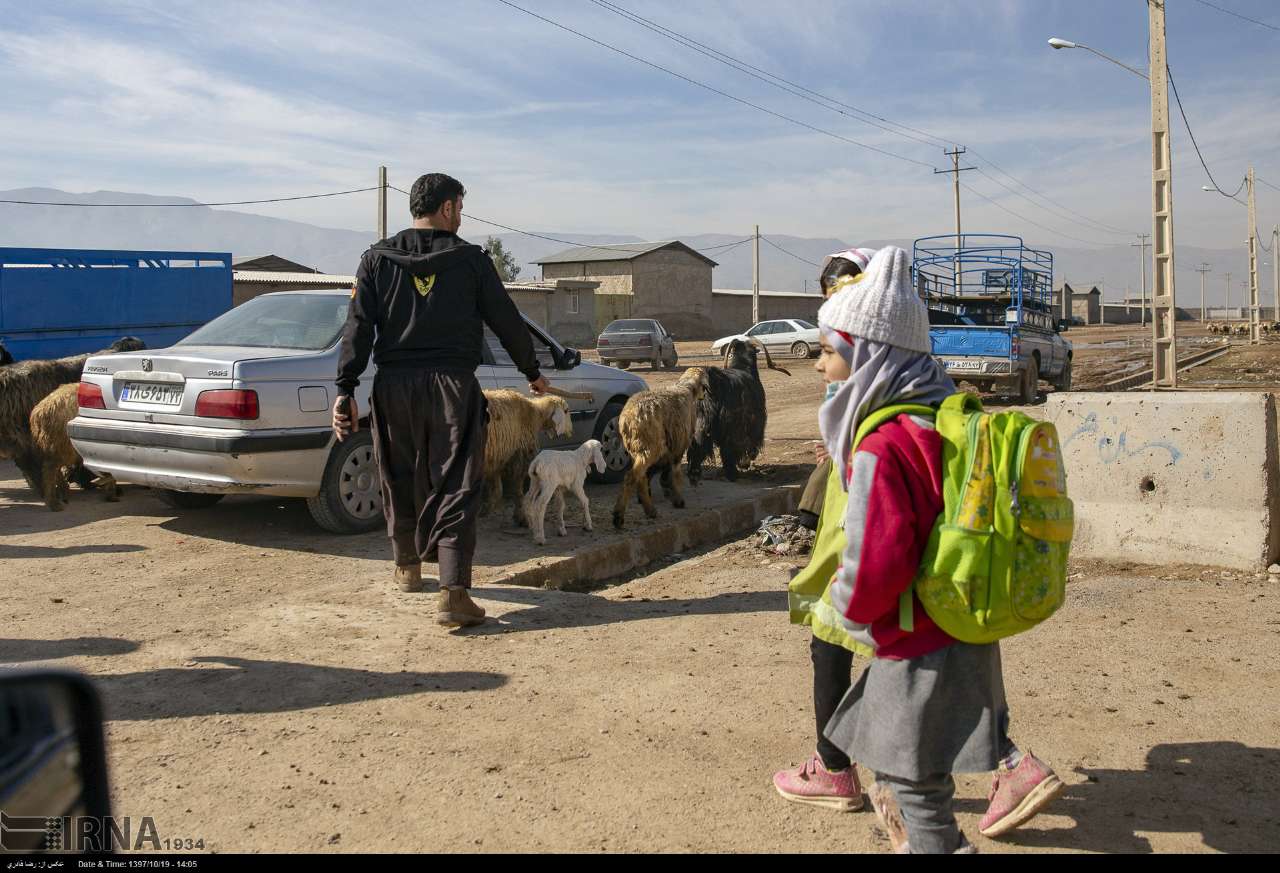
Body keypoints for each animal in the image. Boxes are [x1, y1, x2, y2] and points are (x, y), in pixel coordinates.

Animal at [691, 335, 788, 483]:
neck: (742, 367)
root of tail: (714, 384)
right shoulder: (755, 420)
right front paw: (745, 462)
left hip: (701, 425)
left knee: (698, 448)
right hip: (732, 425)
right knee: (728, 449)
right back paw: (733, 474)